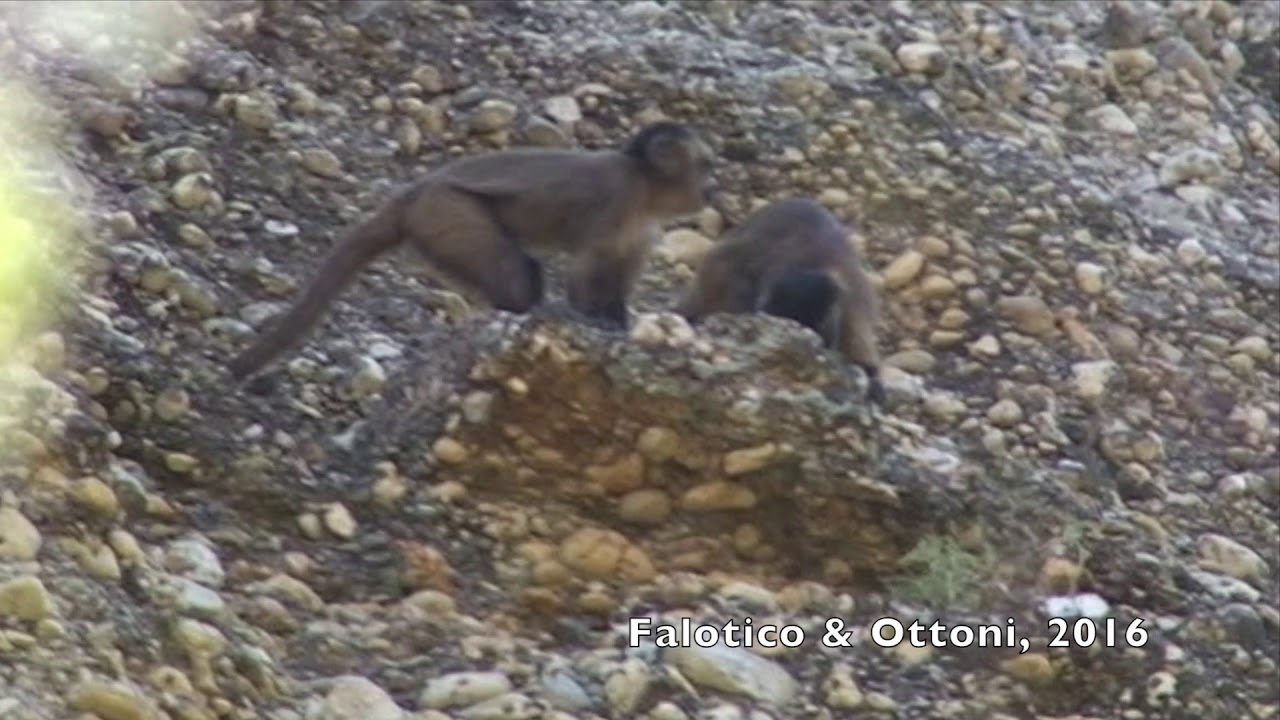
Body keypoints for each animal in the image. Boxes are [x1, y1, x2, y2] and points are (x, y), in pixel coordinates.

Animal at [226, 122, 715, 380]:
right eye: (703, 167)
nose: (710, 189)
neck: (644, 187)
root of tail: (415, 191)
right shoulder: (616, 197)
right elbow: (588, 266)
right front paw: (591, 320)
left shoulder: (644, 224)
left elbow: (618, 273)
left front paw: (618, 321)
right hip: (445, 212)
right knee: (513, 269)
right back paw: (519, 310)